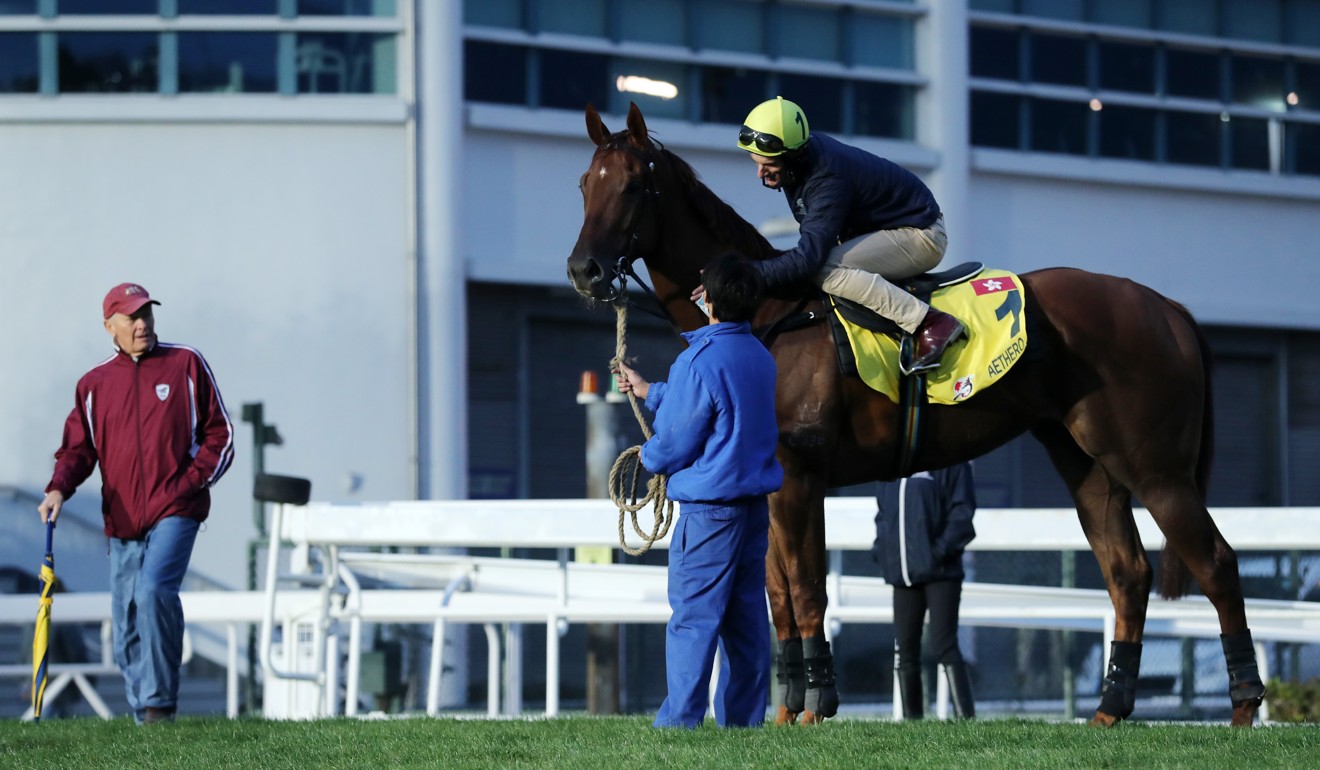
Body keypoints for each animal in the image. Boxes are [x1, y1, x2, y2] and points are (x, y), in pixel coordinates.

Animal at [570, 103, 1267, 729]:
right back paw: (1111, 708)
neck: (767, 314)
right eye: (583, 185)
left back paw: (1243, 705)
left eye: (630, 186)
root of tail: (1166, 307)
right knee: (1127, 572)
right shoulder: (765, 489)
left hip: (1156, 469)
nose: (584, 269)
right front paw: (786, 707)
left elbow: (807, 587)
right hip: (1086, 463)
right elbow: (778, 596)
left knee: (1216, 563)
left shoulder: (800, 479)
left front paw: (817, 704)